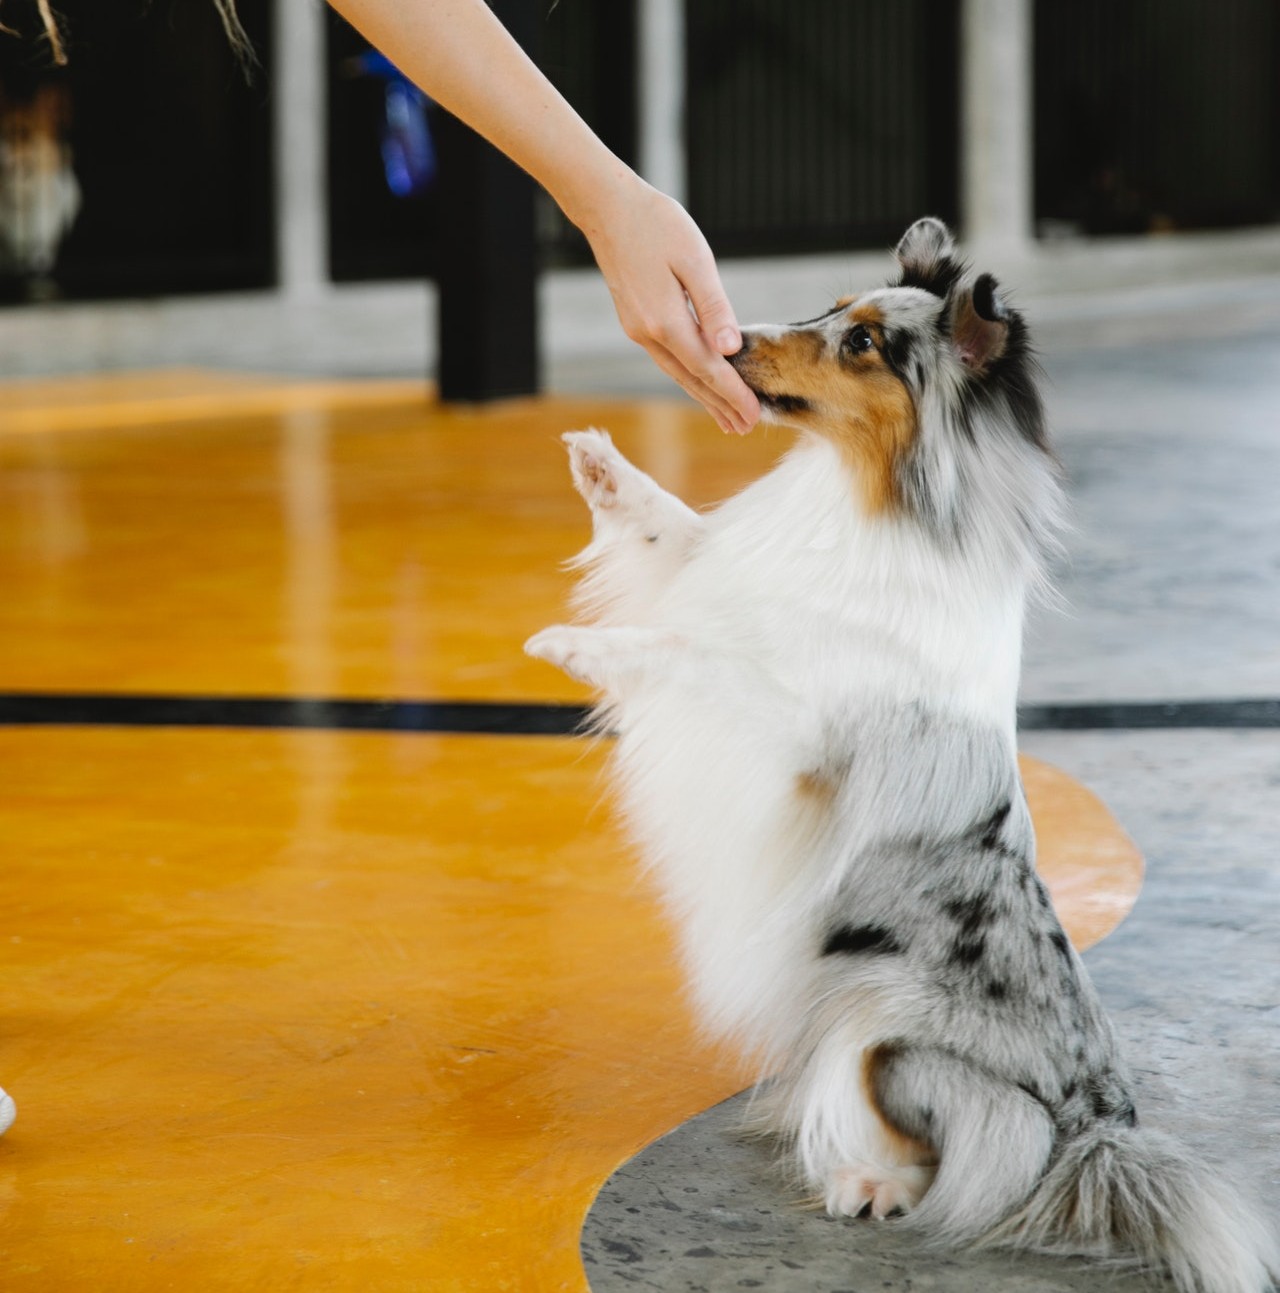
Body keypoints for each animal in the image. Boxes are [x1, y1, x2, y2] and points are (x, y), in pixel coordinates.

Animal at [524, 217, 1277, 1287]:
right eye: (832, 308)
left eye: (864, 345)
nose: (728, 341)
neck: (865, 499)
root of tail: (1100, 1128)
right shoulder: (720, 573)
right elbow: (675, 531)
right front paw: (598, 461)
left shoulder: (786, 720)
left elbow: (687, 654)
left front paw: (572, 646)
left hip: (890, 1030)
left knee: (969, 1156)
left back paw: (868, 1180)